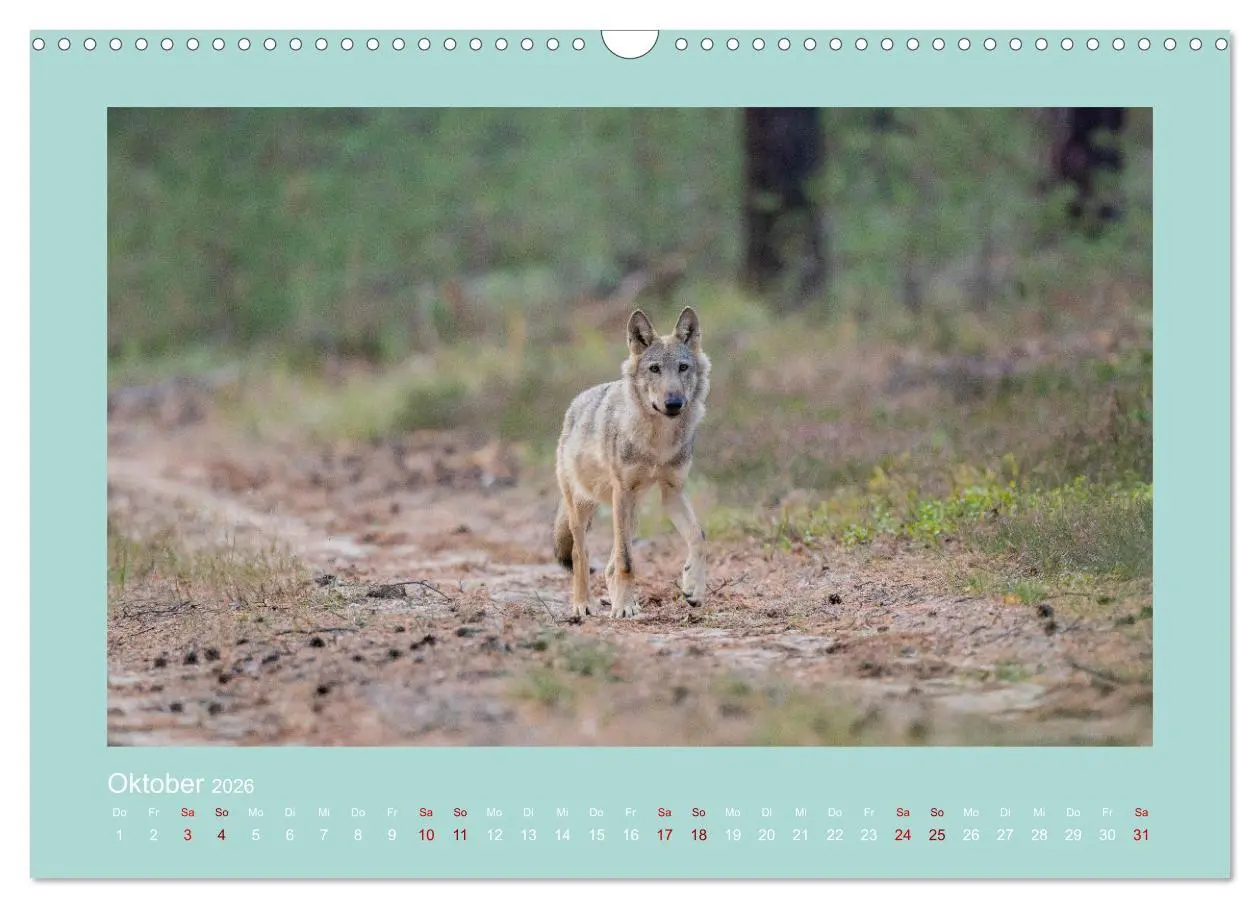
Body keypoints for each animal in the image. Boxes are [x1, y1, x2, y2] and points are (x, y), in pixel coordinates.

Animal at [553, 307, 710, 619]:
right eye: (655, 369)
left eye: (683, 367)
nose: (673, 403)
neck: (658, 441)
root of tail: (574, 406)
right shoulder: (623, 492)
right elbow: (627, 561)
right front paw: (623, 607)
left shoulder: (672, 493)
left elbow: (698, 537)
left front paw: (693, 587)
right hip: (585, 507)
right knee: (581, 555)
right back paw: (583, 604)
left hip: (631, 509)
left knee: (609, 564)